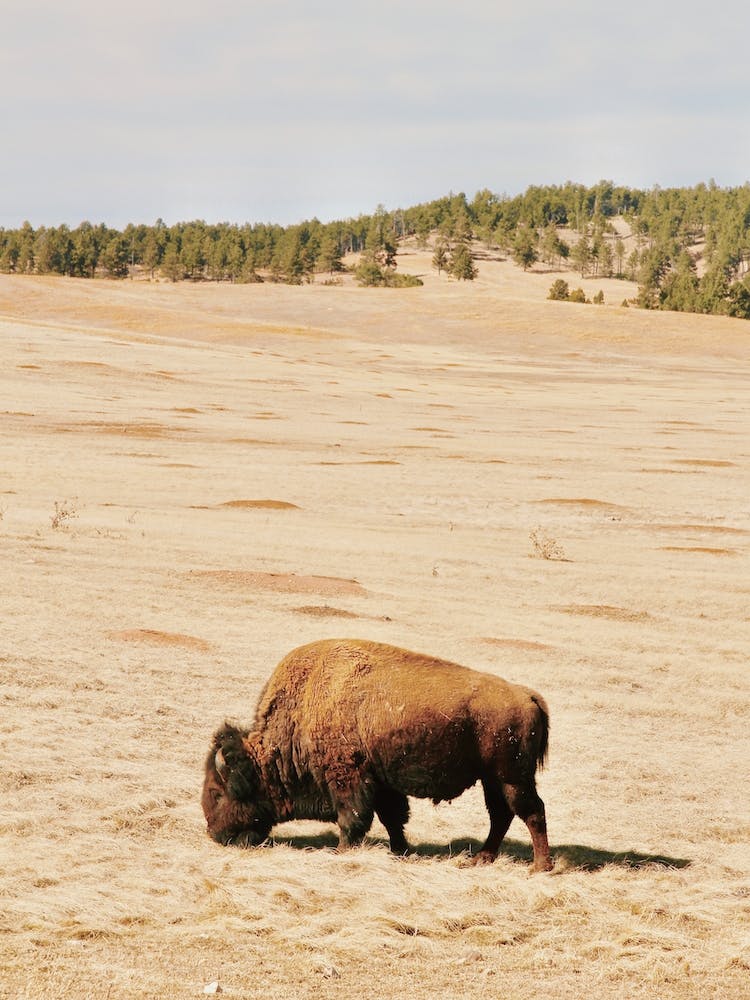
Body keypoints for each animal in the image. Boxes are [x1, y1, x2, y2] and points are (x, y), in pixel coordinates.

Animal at [202, 638, 552, 871]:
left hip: (512, 777)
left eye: (217, 792)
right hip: (492, 779)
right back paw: (481, 858)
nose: (215, 834)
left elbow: (353, 818)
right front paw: (401, 851)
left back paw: (539, 867)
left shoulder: (348, 778)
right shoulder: (381, 783)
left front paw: (341, 852)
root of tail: (527, 696)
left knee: (531, 811)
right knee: (501, 815)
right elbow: (392, 818)